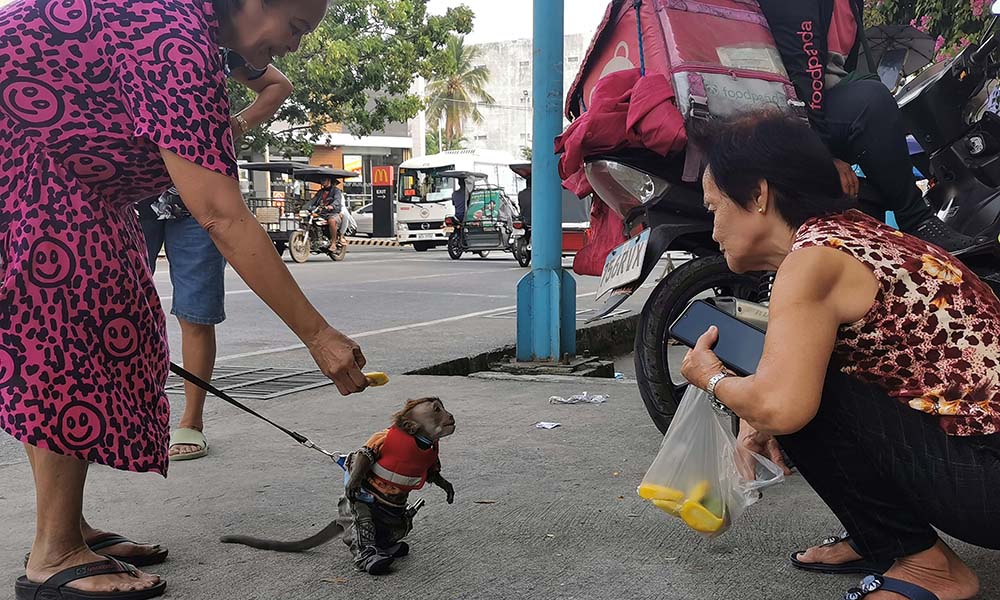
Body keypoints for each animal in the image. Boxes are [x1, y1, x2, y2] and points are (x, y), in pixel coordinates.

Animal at [220, 396, 458, 576]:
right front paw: (353, 481)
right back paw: (372, 557)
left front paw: (447, 487)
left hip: (392, 519)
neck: (417, 441)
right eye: (437, 409)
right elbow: (365, 455)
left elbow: (433, 474)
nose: (451, 416)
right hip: (355, 508)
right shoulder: (380, 440)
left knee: (394, 529)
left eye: (443, 407)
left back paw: (390, 547)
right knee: (362, 523)